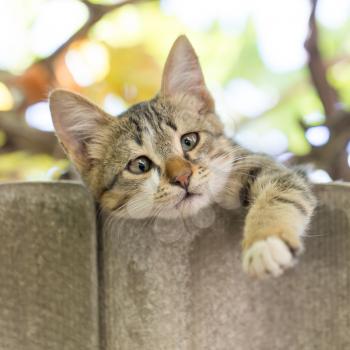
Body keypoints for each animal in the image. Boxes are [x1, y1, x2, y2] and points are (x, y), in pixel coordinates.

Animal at [47, 34, 316, 276]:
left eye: (189, 141)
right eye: (140, 165)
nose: (183, 177)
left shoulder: (264, 165)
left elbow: (280, 194)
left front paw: (265, 241)